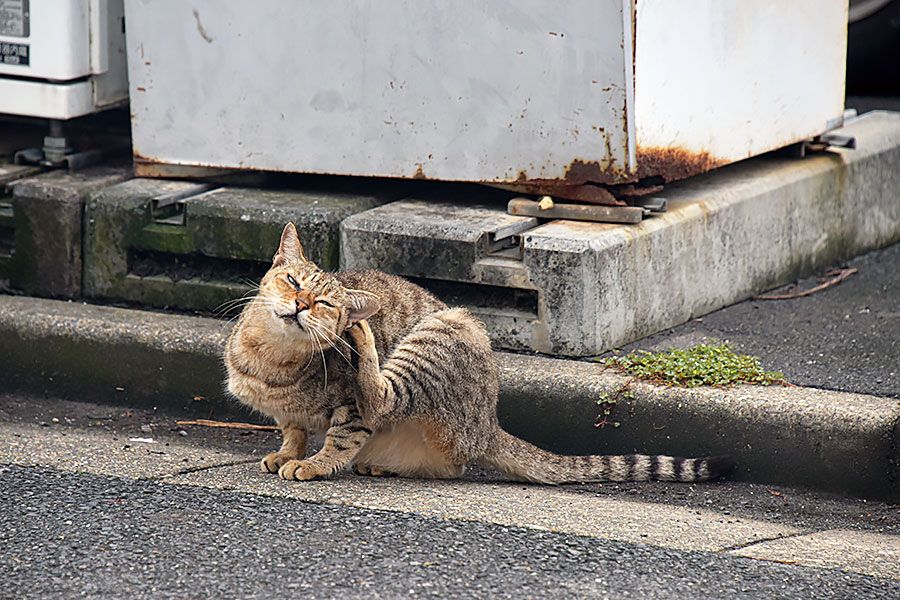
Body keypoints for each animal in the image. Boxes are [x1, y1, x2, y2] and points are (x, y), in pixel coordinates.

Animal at [223, 223, 732, 486]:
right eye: (292, 281)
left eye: (326, 304)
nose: (300, 305)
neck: (270, 359)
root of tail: (488, 423)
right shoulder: (284, 413)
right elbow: (292, 428)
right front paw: (286, 451)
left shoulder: (349, 409)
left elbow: (339, 439)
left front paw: (311, 464)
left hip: (446, 328)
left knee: (386, 398)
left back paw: (364, 337)